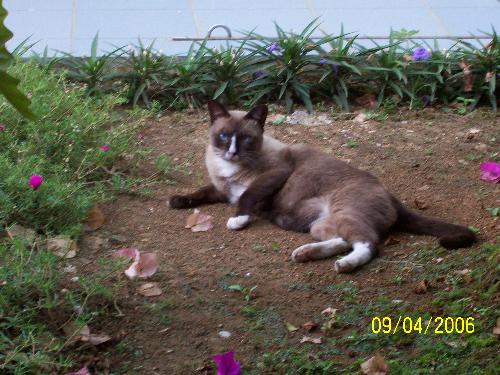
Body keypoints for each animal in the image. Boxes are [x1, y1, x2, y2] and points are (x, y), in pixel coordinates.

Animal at [169, 101, 476, 274]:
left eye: (245, 139)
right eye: (223, 136)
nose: (231, 152)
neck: (229, 168)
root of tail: (391, 196)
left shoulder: (273, 175)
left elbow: (247, 194)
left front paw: (237, 220)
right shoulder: (221, 189)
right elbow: (201, 192)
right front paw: (177, 201)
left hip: (344, 212)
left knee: (369, 244)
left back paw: (344, 265)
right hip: (320, 223)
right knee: (344, 239)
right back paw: (305, 254)